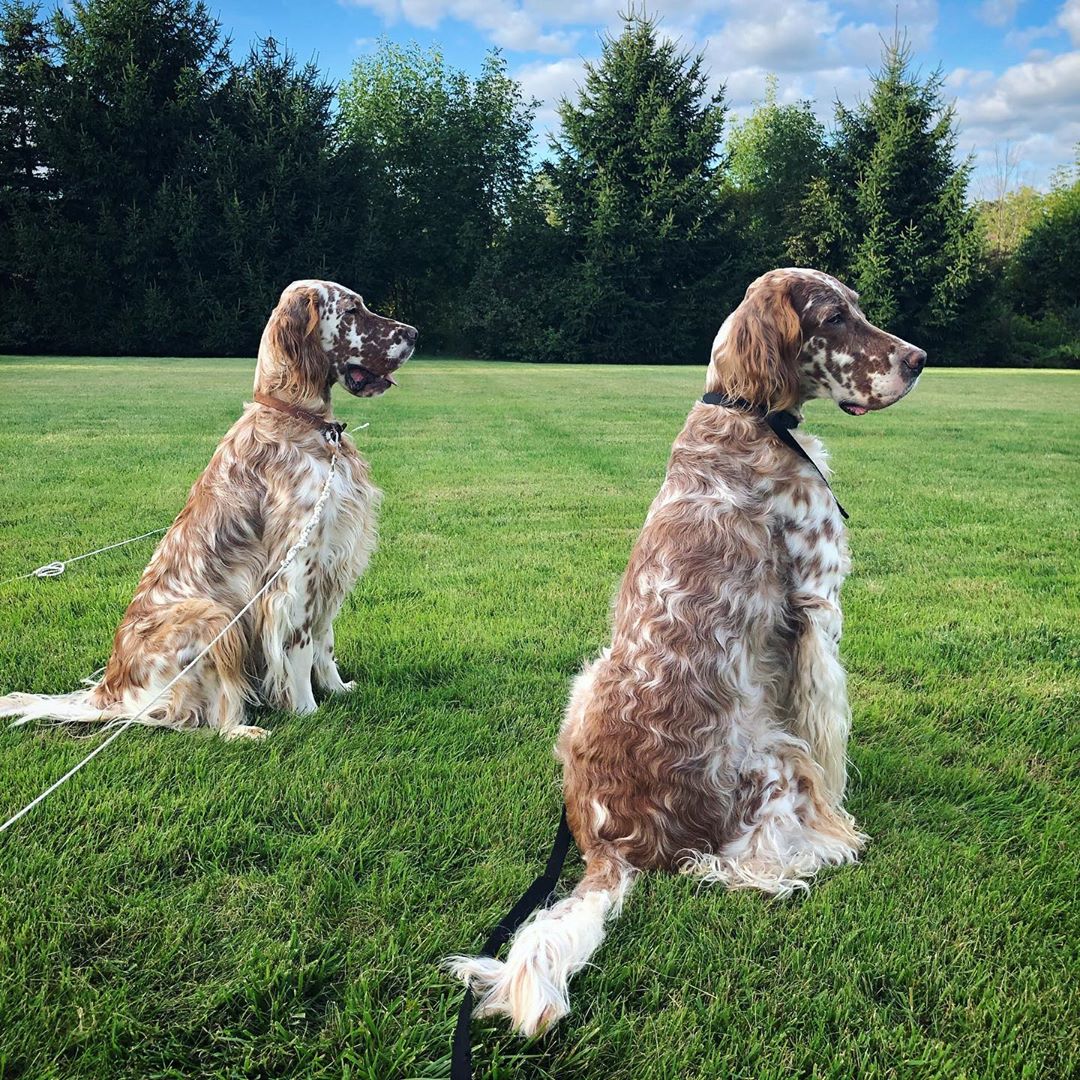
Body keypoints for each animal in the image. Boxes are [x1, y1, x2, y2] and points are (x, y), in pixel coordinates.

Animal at [1, 278, 416, 738]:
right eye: (350, 311)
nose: (415, 334)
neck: (300, 420)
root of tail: (111, 691)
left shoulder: (331, 563)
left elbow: (324, 642)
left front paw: (338, 690)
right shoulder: (294, 573)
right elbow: (301, 647)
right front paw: (308, 712)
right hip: (213, 616)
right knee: (210, 720)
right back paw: (245, 730)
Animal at [451, 265, 924, 1032]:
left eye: (858, 306)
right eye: (833, 318)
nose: (919, 359)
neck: (743, 411)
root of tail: (610, 843)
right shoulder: (819, 608)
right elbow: (829, 733)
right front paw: (843, 814)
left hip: (583, 683)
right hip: (772, 761)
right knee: (747, 866)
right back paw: (829, 848)